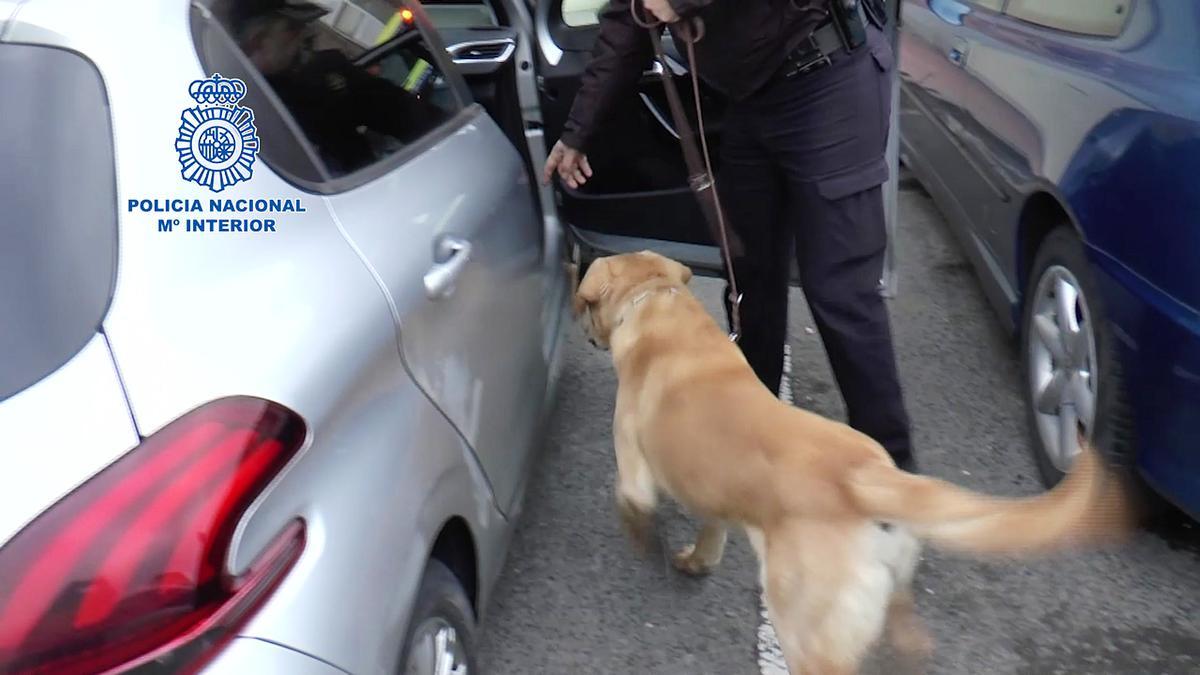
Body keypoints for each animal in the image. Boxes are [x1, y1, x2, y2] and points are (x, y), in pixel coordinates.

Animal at [571, 248, 1132, 672]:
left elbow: (632, 501)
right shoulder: (714, 497)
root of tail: (867, 477)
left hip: (806, 624)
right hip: (891, 583)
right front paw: (693, 561)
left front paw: (647, 543)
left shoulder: (632, 459)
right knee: (907, 632)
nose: (584, 331)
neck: (658, 310)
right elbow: (711, 535)